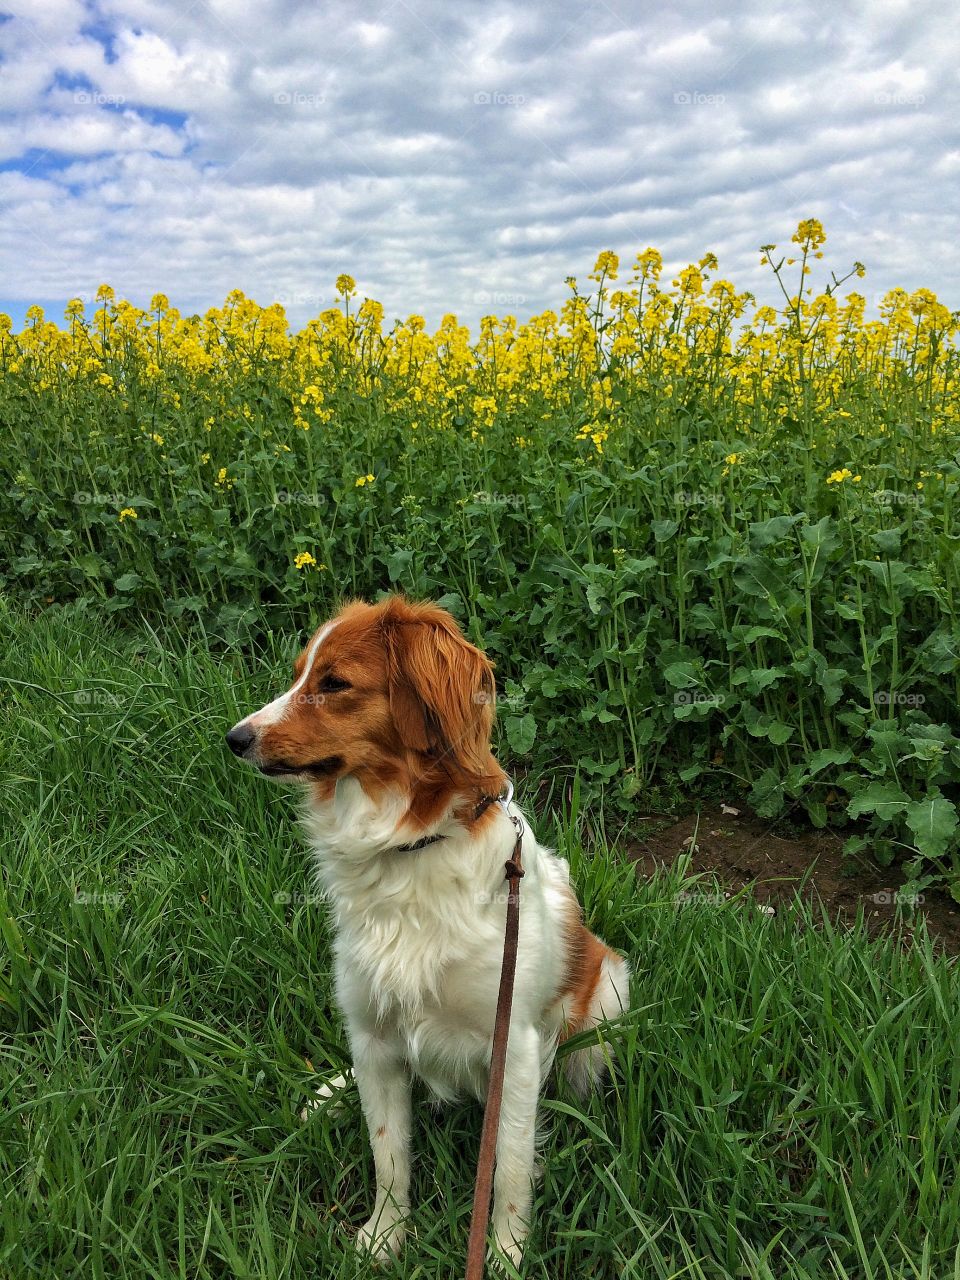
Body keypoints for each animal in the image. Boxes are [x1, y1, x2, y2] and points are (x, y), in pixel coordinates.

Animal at [225, 596, 632, 1259]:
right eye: (298, 675)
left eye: (333, 683)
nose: (235, 739)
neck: (404, 847)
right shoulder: (373, 1032)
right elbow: (389, 1153)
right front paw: (385, 1237)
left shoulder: (513, 1045)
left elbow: (507, 1167)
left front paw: (505, 1255)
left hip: (609, 994)